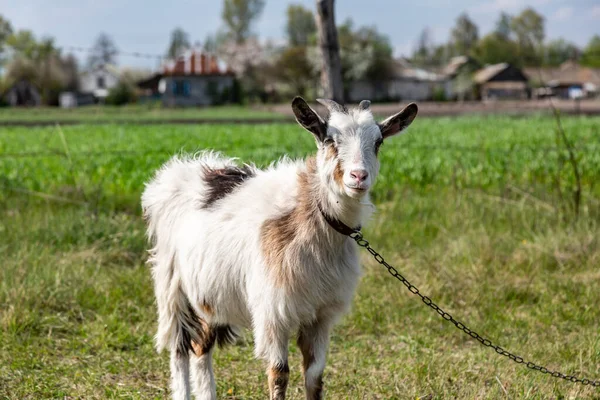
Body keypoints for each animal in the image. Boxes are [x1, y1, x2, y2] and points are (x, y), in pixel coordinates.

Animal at [143, 97, 420, 400]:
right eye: (329, 139)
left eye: (378, 141)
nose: (358, 176)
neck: (311, 215)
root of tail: (181, 169)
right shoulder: (273, 313)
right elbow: (279, 374)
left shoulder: (321, 316)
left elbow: (315, 376)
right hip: (173, 286)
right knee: (179, 348)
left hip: (208, 291)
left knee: (201, 347)